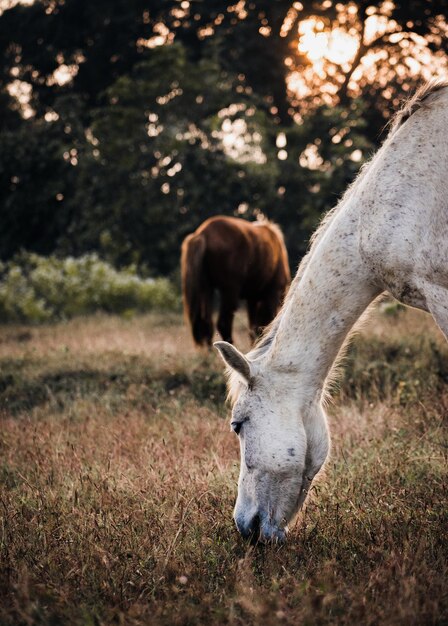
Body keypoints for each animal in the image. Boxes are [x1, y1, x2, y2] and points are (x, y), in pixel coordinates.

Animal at [181, 213, 290, 342]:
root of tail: (203, 234)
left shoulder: (252, 298)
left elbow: (253, 328)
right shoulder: (273, 293)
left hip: (206, 288)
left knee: (206, 324)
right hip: (230, 290)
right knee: (223, 323)